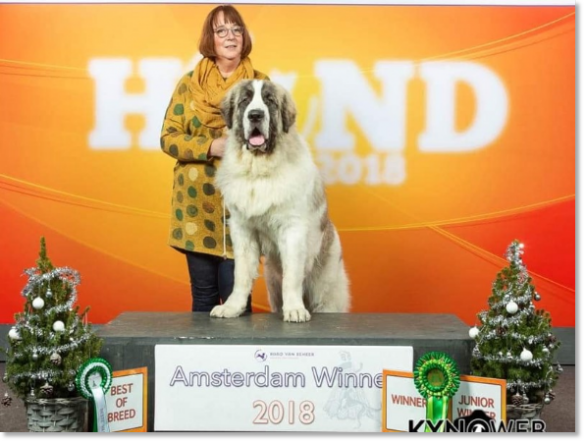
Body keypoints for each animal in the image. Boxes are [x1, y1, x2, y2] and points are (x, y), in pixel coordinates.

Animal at [209, 79, 346, 322]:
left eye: (269, 101)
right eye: (245, 100)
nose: (255, 115)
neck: (258, 171)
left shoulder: (292, 230)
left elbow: (292, 276)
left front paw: (294, 309)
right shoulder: (243, 229)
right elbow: (241, 274)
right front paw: (232, 307)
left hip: (326, 288)